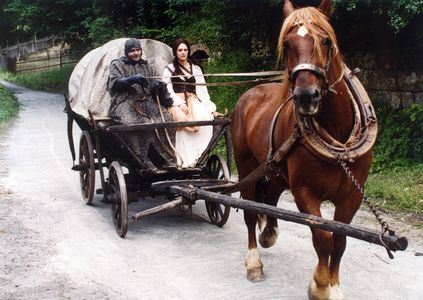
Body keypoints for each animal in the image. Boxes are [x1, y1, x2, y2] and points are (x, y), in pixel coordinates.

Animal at [232, 0, 374, 300]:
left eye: (326, 40)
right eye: (287, 45)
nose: (306, 96)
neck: (339, 146)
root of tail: (250, 93)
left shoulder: (352, 196)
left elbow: (340, 241)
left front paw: (335, 286)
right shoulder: (305, 192)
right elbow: (323, 239)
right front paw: (319, 285)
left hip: (274, 168)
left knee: (270, 197)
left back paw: (269, 234)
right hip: (246, 163)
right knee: (250, 211)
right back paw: (254, 262)